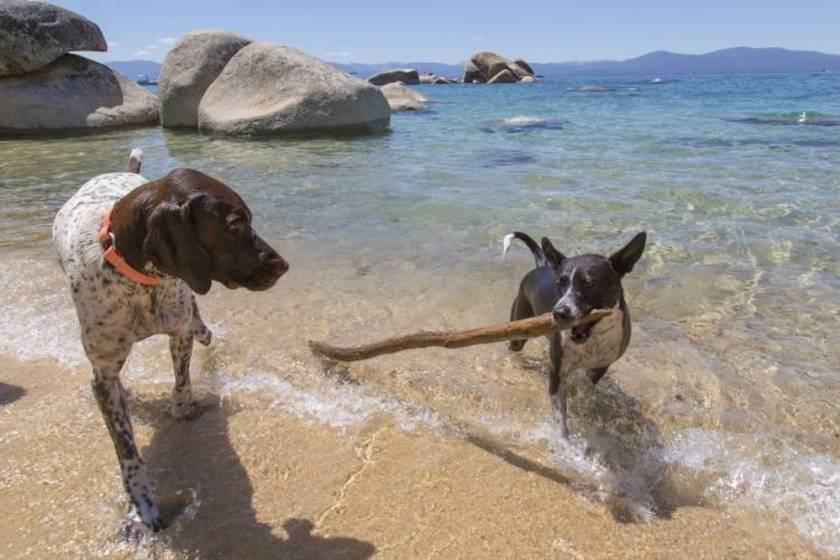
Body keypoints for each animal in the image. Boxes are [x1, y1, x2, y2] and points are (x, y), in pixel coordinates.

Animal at [53, 149, 288, 528]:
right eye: (235, 224)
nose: (284, 266)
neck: (137, 280)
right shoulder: (103, 376)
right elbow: (127, 450)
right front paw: (141, 503)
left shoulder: (178, 331)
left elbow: (182, 380)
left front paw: (183, 407)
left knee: (195, 314)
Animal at [502, 232, 648, 438]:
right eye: (559, 284)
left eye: (589, 284)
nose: (558, 313)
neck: (591, 339)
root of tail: (541, 265)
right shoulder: (557, 372)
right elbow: (559, 416)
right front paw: (563, 441)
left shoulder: (601, 366)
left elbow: (585, 390)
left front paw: (582, 407)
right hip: (519, 326)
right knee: (514, 347)